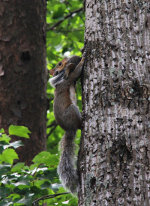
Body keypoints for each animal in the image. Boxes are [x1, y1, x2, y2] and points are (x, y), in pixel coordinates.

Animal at [49, 56, 84, 193]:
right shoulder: (68, 79)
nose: (65, 58)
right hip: (72, 110)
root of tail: (69, 128)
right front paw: (83, 59)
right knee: (79, 124)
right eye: (59, 64)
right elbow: (76, 72)